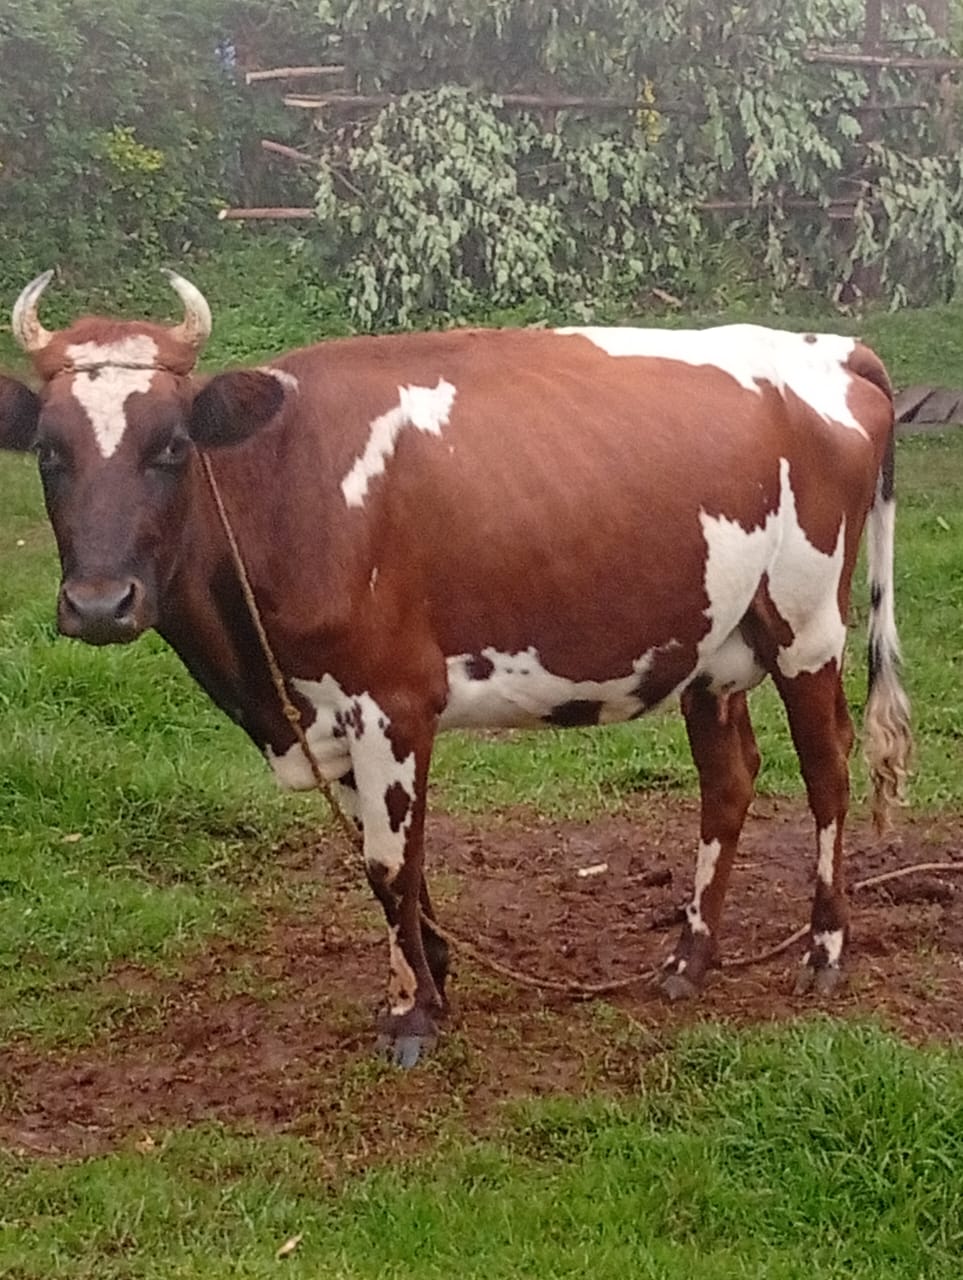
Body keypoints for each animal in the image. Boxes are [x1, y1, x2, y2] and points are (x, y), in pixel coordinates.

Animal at [0, 271, 912, 1066]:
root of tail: (829, 348)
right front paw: (435, 979)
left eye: (173, 445)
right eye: (47, 451)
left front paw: (410, 1013)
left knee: (826, 769)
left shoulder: (392, 697)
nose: (99, 603)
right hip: (715, 647)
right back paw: (688, 959)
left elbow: (386, 859)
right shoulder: (340, 711)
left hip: (805, 624)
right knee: (729, 778)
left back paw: (824, 951)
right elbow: (396, 860)